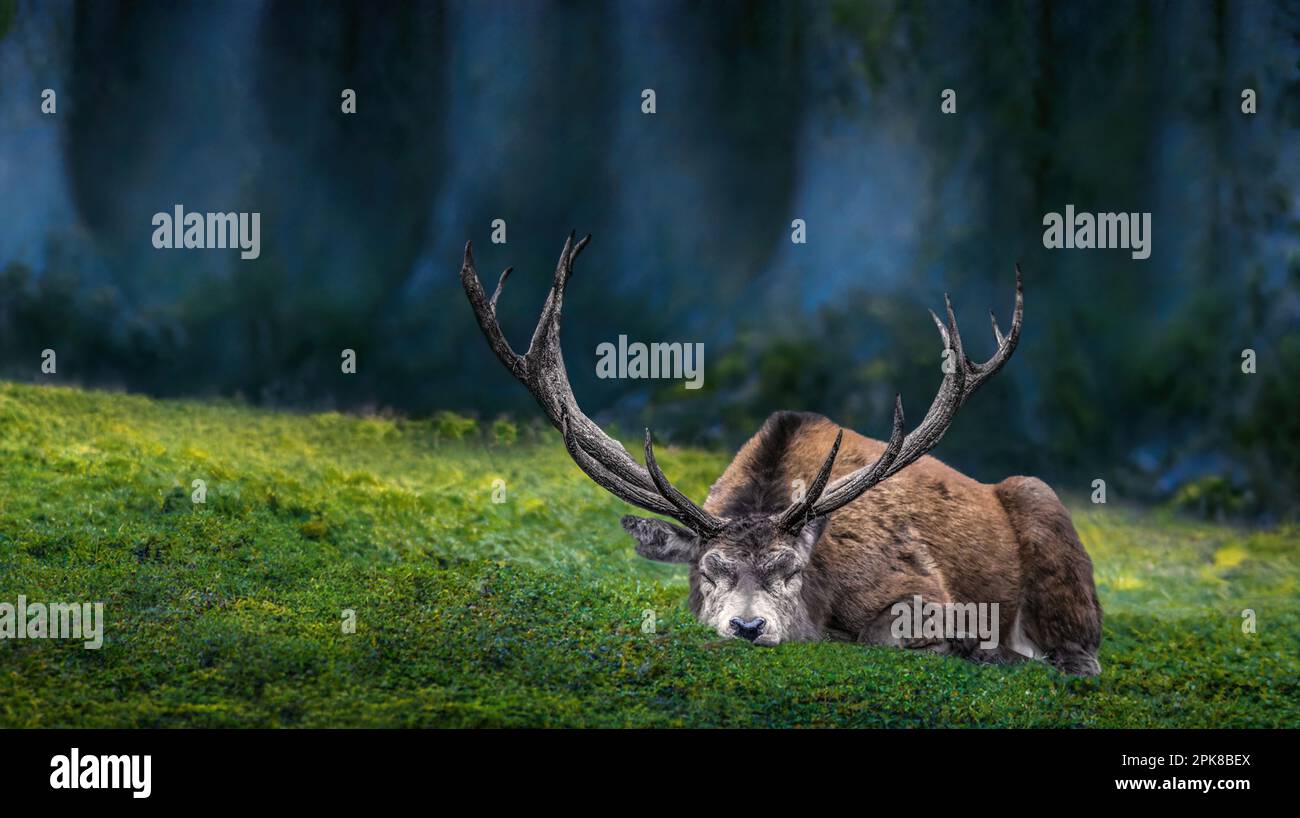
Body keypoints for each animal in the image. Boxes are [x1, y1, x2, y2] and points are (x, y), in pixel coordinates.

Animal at [461, 233, 1103, 676]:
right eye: (708, 571)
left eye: (789, 570)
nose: (748, 626)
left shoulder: (930, 591)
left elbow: (893, 635)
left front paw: (975, 650)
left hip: (1046, 509)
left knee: (1083, 652)